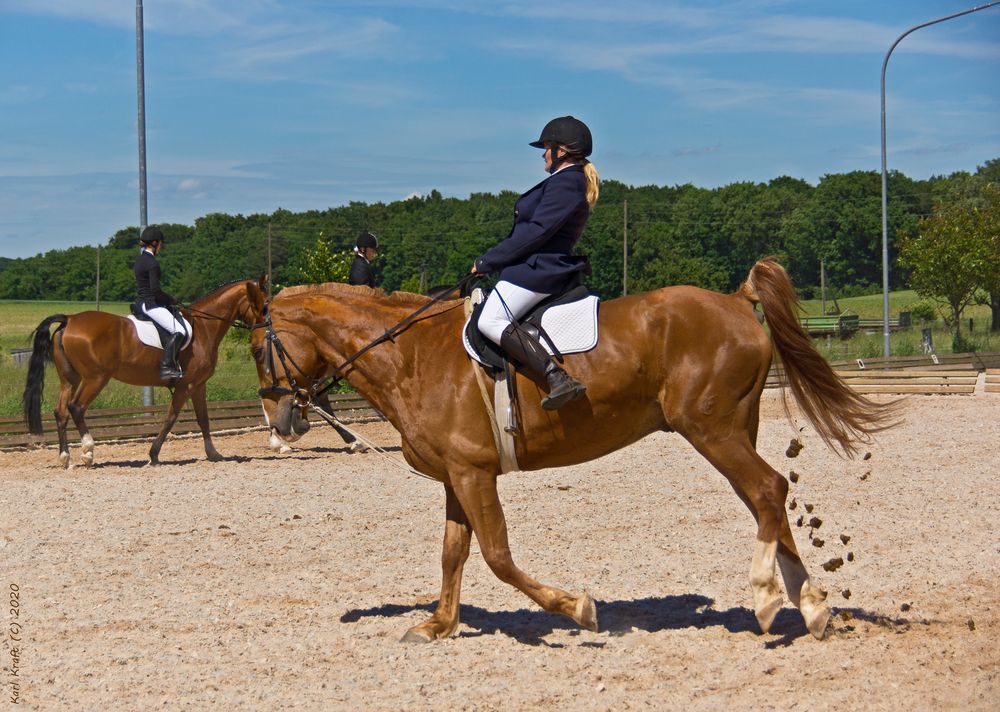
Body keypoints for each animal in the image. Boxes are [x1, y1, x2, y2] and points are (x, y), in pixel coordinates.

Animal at [23, 276, 268, 464]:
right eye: (264, 305)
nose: (267, 329)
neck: (204, 327)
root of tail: (69, 319)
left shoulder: (198, 385)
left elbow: (204, 419)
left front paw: (213, 453)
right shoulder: (185, 385)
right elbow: (170, 417)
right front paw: (154, 454)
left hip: (69, 379)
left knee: (60, 412)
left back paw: (65, 458)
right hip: (95, 378)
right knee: (76, 407)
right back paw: (88, 452)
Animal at [248, 258, 892, 644]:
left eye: (257, 348)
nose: (280, 423)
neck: (411, 354)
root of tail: (737, 301)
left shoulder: (474, 473)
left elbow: (497, 556)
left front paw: (577, 608)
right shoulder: (458, 474)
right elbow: (454, 553)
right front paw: (438, 624)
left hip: (712, 430)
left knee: (766, 490)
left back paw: (765, 600)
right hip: (731, 429)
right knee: (768, 498)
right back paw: (810, 609)